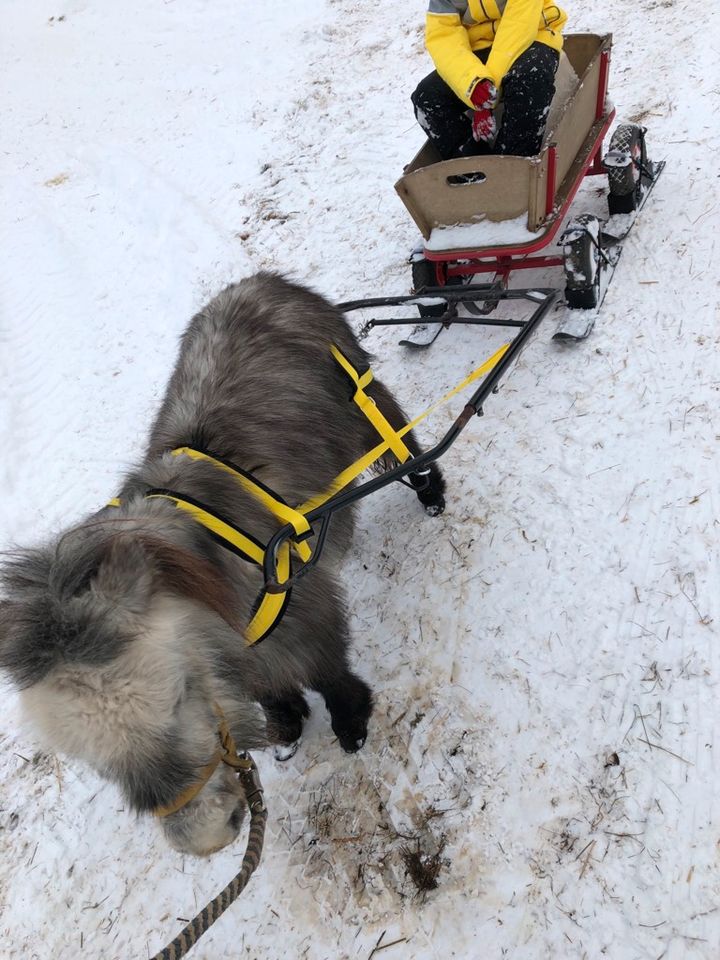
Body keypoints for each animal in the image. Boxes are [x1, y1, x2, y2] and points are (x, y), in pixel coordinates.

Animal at [0, 272, 444, 856]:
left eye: (178, 698)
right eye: (93, 759)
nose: (204, 836)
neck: (199, 565)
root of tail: (261, 281)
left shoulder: (304, 612)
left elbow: (327, 671)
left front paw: (350, 721)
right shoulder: (236, 644)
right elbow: (268, 689)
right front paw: (287, 724)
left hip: (364, 403)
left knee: (406, 442)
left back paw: (431, 491)